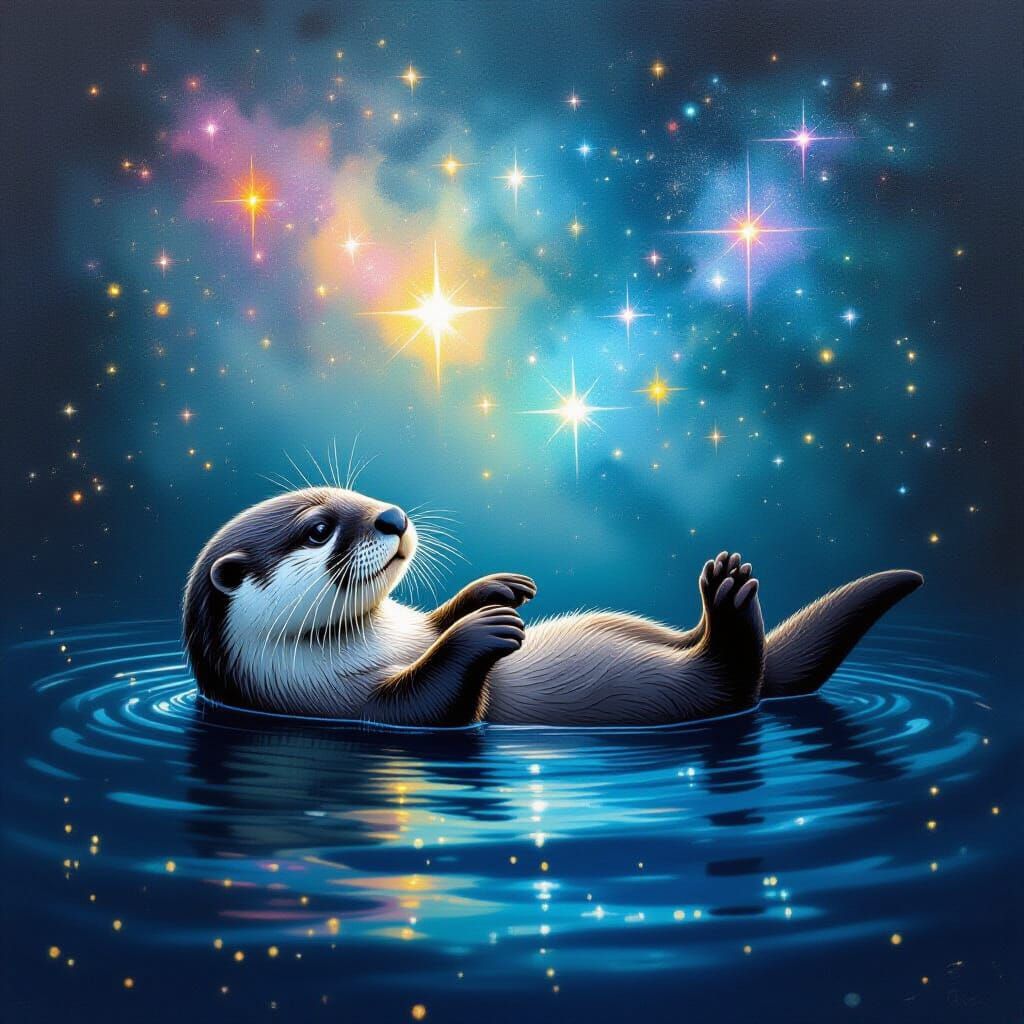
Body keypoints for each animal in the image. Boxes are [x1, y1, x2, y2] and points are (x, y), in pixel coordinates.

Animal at [183, 486, 922, 727]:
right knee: (731, 680)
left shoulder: (407, 632)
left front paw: (494, 591)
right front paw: (484, 631)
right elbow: (434, 706)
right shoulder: (330, 704)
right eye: (318, 529)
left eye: (357, 493)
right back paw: (730, 601)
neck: (377, 642)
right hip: (687, 695)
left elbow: (436, 619)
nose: (392, 516)